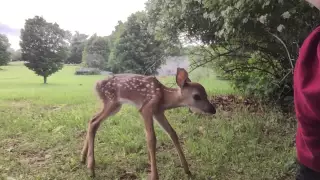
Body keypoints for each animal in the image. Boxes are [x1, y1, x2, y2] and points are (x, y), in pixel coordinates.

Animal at [80, 68, 215, 180]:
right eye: (196, 96)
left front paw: (187, 170)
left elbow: (172, 133)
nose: (213, 109)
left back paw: (83, 158)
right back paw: (91, 168)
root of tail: (96, 85)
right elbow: (151, 139)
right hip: (112, 102)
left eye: (206, 94)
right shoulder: (146, 109)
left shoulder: (158, 112)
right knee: (94, 122)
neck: (164, 97)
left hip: (113, 105)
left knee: (92, 119)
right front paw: (154, 175)